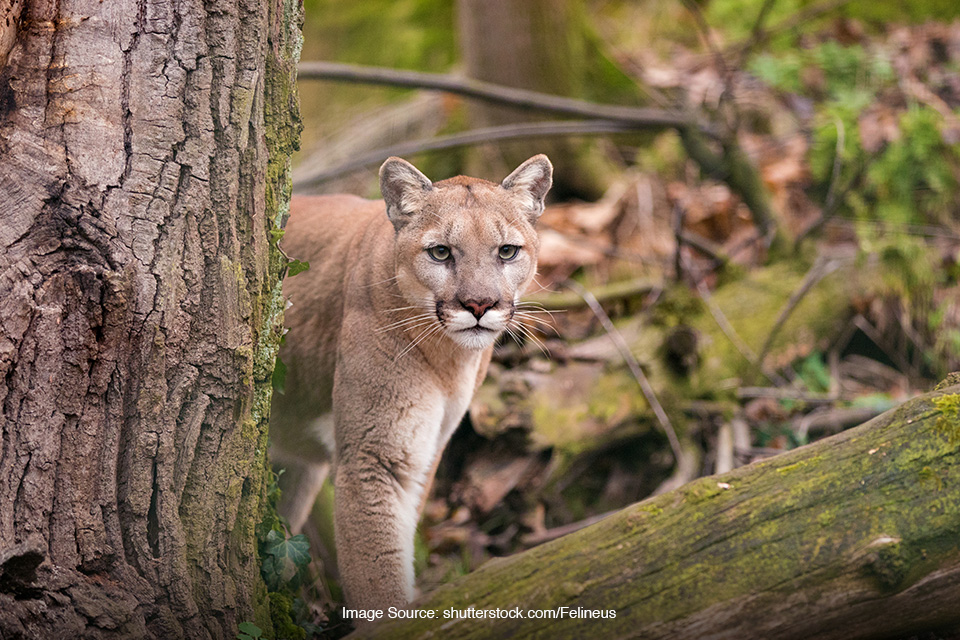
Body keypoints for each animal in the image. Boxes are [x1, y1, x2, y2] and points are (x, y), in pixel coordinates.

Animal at [272, 155, 556, 616]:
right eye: (440, 252)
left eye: (506, 251)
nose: (479, 305)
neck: (450, 360)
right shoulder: (375, 454)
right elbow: (376, 567)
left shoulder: (425, 450)